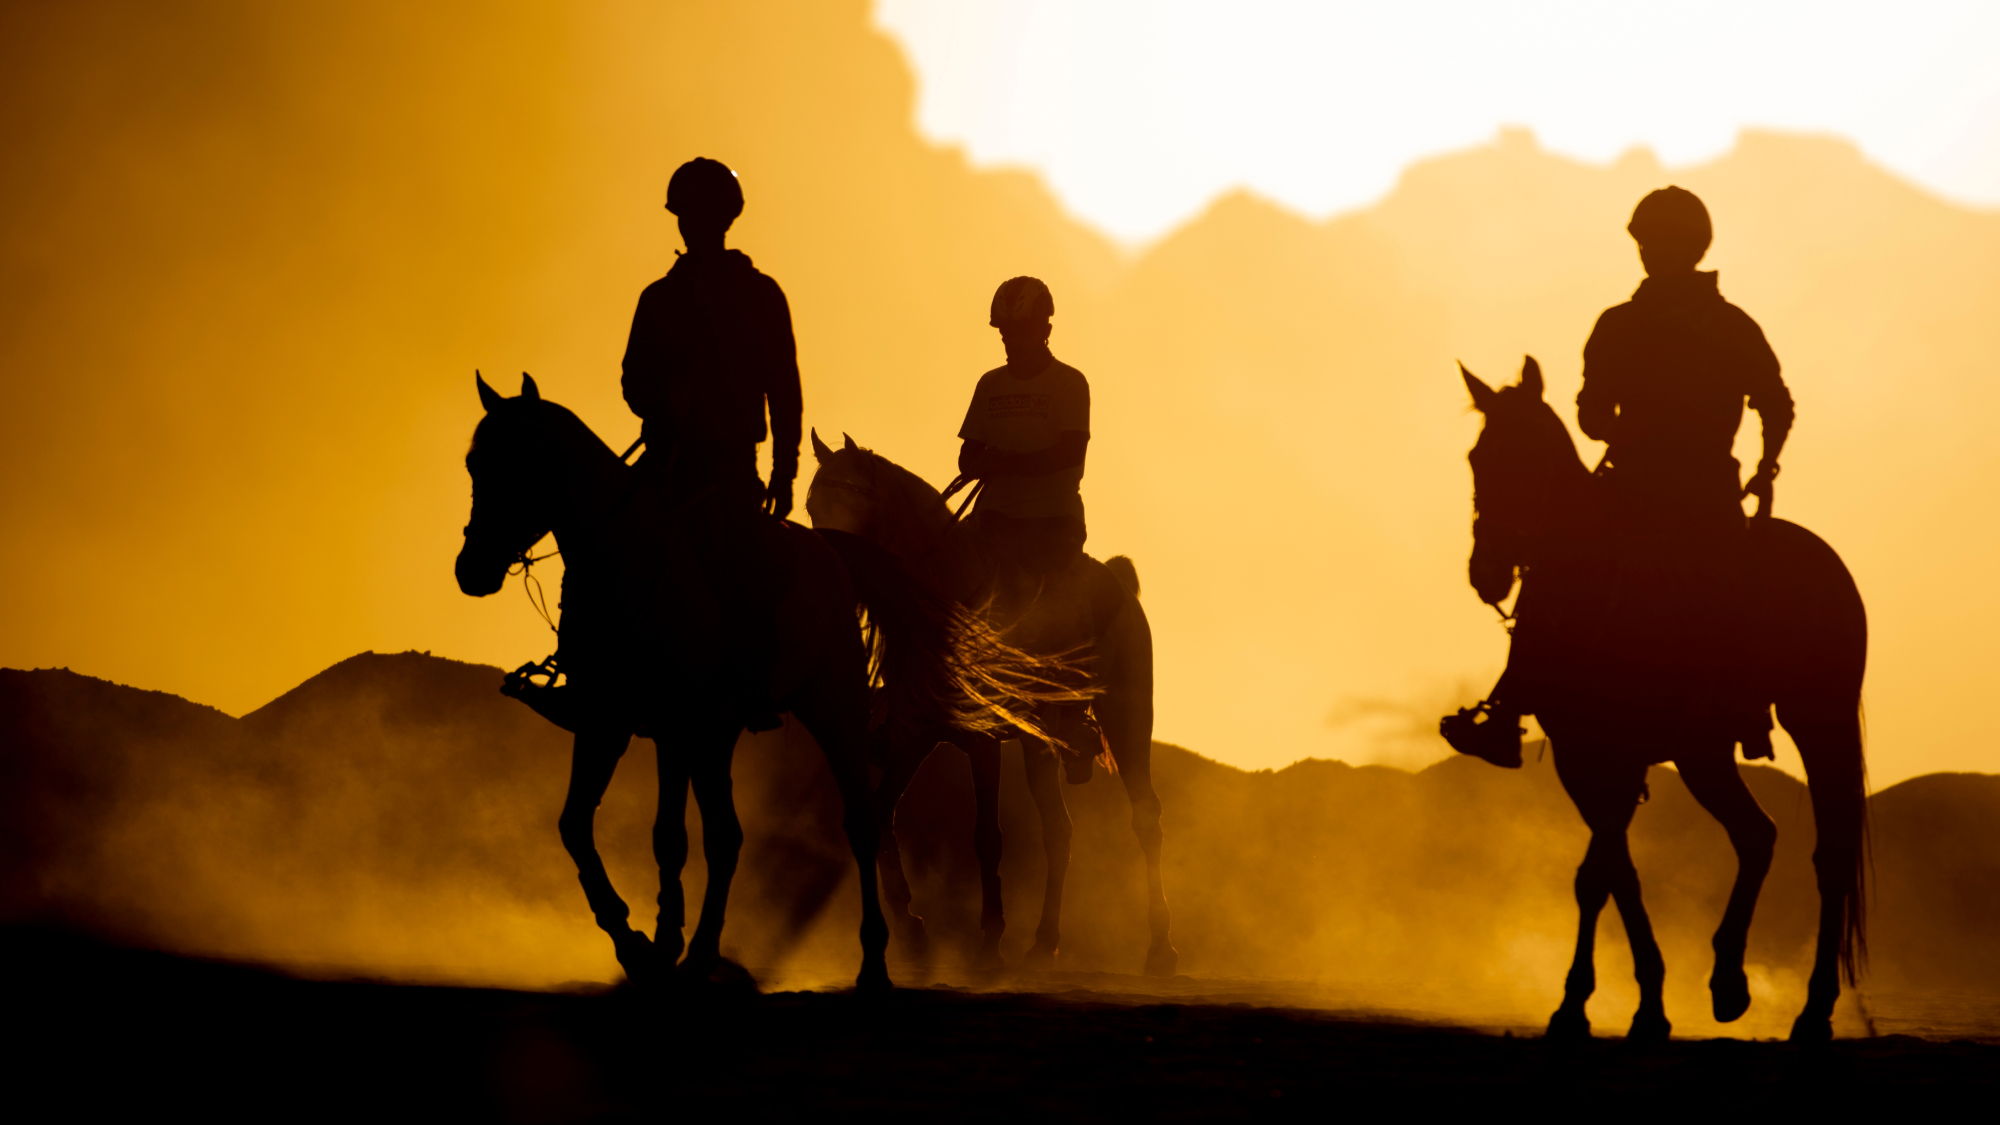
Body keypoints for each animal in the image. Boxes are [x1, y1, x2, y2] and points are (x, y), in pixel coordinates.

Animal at [456, 372, 1072, 984]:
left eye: (519, 462)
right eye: (473, 464)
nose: (471, 570)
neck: (631, 566)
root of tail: (833, 557)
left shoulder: (678, 727)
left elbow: (669, 835)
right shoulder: (612, 723)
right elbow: (584, 826)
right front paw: (643, 944)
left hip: (839, 715)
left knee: (881, 822)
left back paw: (901, 955)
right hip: (733, 732)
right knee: (740, 834)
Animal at [800, 428, 1168, 972]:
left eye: (860, 497)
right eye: (810, 505)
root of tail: (1120, 583)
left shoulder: (982, 741)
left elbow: (987, 837)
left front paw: (989, 940)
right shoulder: (914, 734)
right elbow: (883, 813)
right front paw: (911, 931)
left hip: (1128, 719)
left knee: (1146, 819)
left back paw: (1161, 947)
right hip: (1040, 746)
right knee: (1059, 831)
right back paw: (1042, 943)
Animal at [1464, 358, 1864, 1040]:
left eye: (1531, 457)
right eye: (1477, 458)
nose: (1486, 570)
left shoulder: (1622, 759)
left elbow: (1601, 873)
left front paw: (1589, 1005)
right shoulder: (1581, 757)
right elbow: (1611, 876)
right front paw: (1628, 1004)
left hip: (1822, 722)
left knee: (1830, 852)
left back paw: (1813, 1011)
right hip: (1705, 753)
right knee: (1756, 835)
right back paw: (1728, 982)